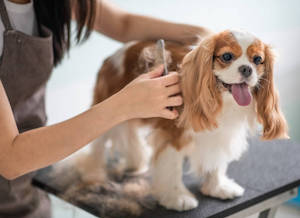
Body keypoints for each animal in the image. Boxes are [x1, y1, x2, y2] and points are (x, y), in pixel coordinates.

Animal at [75, 29, 288, 211]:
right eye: (227, 56)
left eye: (258, 60)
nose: (246, 69)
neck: (223, 101)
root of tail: (112, 56)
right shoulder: (173, 135)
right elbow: (173, 167)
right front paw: (177, 198)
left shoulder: (219, 135)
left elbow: (216, 161)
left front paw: (217, 187)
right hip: (108, 111)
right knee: (98, 145)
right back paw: (93, 174)